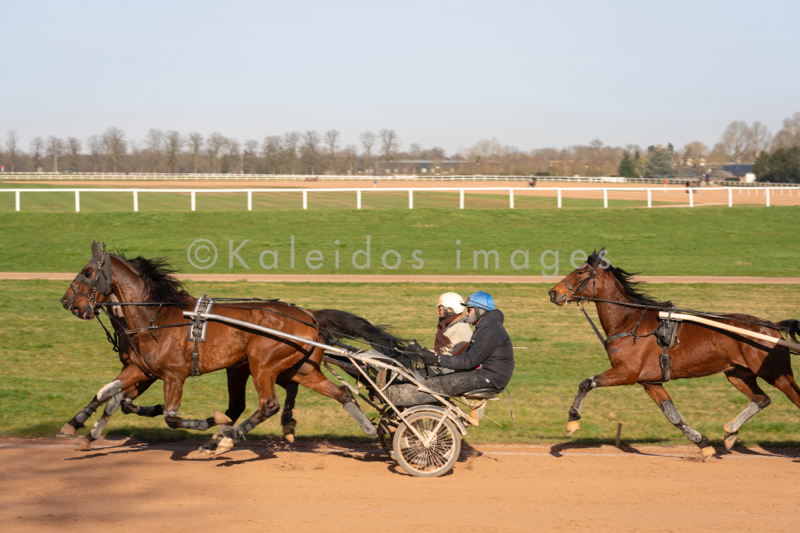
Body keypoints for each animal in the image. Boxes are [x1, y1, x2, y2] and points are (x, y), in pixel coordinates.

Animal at [61, 241, 406, 454]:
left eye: (88, 272)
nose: (66, 301)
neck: (154, 317)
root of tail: (308, 315)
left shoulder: (173, 374)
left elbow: (168, 415)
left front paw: (208, 424)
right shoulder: (141, 368)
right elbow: (108, 395)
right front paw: (78, 427)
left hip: (261, 363)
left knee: (268, 405)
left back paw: (225, 439)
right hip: (299, 368)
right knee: (342, 393)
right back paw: (367, 428)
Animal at [552, 249, 800, 458]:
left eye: (580, 271)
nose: (553, 292)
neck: (630, 321)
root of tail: (772, 327)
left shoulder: (626, 372)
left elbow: (586, 383)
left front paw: (572, 421)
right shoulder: (650, 381)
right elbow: (672, 415)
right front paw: (703, 444)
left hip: (776, 373)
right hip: (738, 374)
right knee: (761, 399)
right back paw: (730, 432)